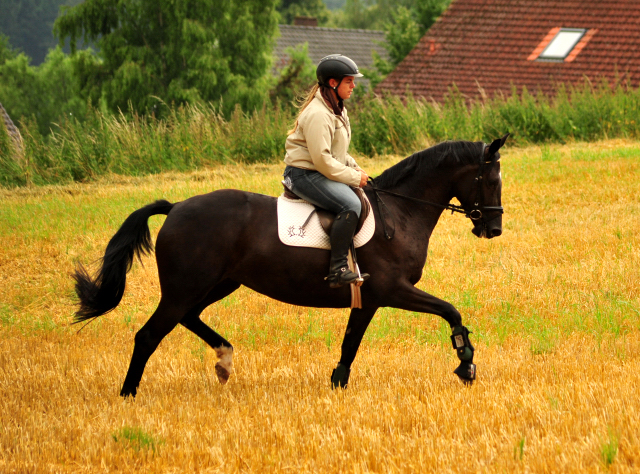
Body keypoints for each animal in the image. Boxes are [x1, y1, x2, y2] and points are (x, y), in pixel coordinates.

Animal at [72, 134, 508, 396]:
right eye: (490, 181)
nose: (494, 229)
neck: (399, 213)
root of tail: (176, 207)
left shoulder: (368, 299)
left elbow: (351, 343)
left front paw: (337, 384)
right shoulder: (393, 290)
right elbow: (451, 311)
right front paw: (466, 363)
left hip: (217, 284)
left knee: (189, 318)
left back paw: (224, 359)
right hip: (185, 288)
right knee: (149, 335)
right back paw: (128, 395)